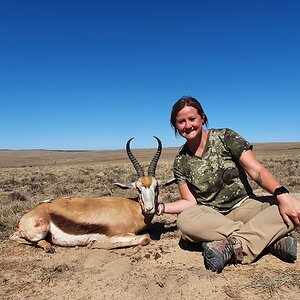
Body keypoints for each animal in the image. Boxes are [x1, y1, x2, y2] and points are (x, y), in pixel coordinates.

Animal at [10, 137, 175, 252]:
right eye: (138, 189)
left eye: (156, 187)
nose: (149, 208)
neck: (132, 209)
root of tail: (32, 212)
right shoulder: (117, 235)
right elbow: (145, 238)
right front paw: (94, 243)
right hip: (38, 232)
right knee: (16, 237)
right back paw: (49, 247)